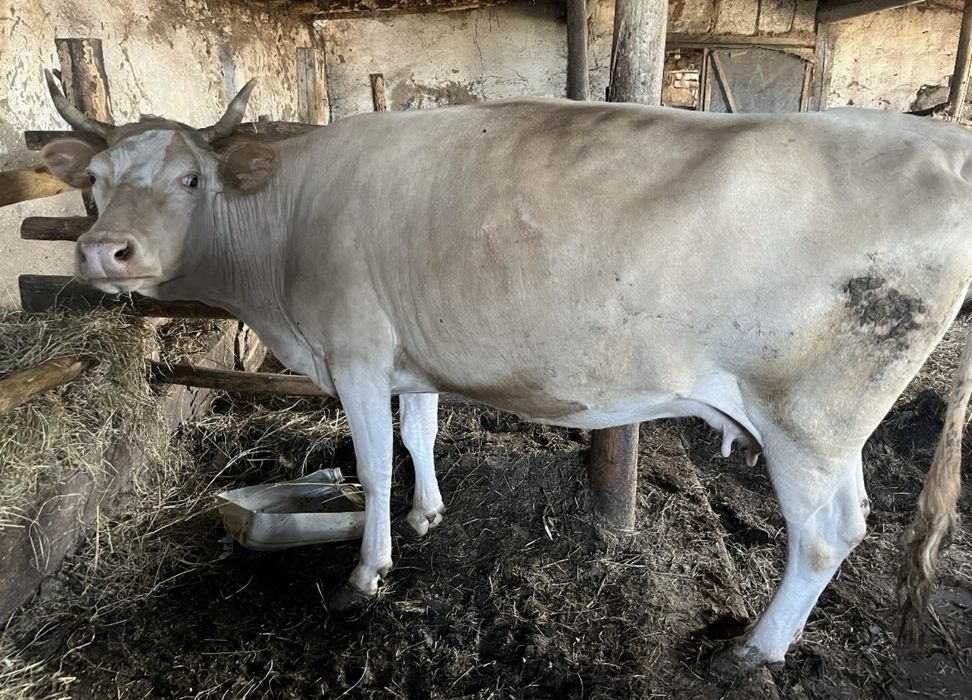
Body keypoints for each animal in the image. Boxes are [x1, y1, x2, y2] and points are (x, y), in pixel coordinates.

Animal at [39, 70, 970, 676]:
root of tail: (941, 141)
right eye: (96, 180)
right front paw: (428, 515)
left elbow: (373, 466)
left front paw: (366, 574)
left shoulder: (355, 353)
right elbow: (418, 435)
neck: (285, 226)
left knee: (825, 534)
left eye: (191, 177)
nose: (103, 251)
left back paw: (751, 653)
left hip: (807, 416)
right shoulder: (406, 353)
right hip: (827, 425)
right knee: (851, 522)